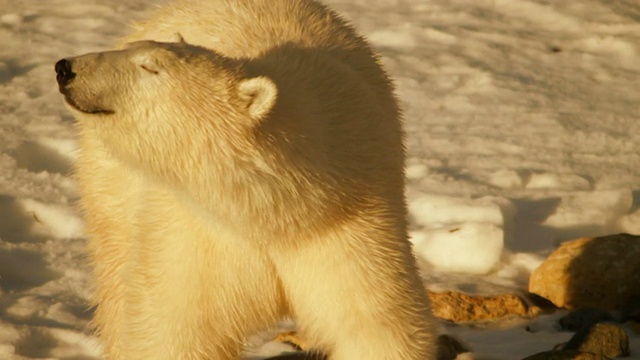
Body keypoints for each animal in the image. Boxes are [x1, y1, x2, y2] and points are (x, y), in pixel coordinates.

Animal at [55, 0, 438, 360]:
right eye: (134, 51)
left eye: (151, 66)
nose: (65, 68)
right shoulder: (201, 239)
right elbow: (173, 332)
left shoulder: (350, 227)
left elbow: (377, 328)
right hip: (110, 186)